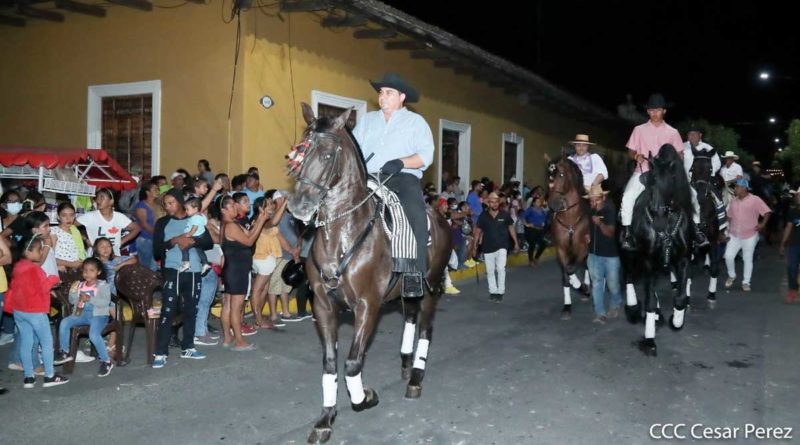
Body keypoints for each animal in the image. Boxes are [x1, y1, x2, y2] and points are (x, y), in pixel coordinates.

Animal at [548, 155, 592, 320]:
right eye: (549, 176)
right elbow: (566, 275)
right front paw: (567, 306)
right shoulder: (561, 248)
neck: (570, 217)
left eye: (561, 175)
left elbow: (572, 268)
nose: (553, 203)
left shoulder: (583, 247)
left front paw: (582, 287)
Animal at [624, 144, 692, 356]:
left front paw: (676, 320)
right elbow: (650, 302)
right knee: (629, 277)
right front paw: (649, 340)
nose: (659, 221)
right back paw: (633, 309)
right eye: (651, 183)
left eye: (670, 182)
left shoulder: (682, 260)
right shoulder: (648, 260)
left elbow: (680, 297)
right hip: (630, 255)